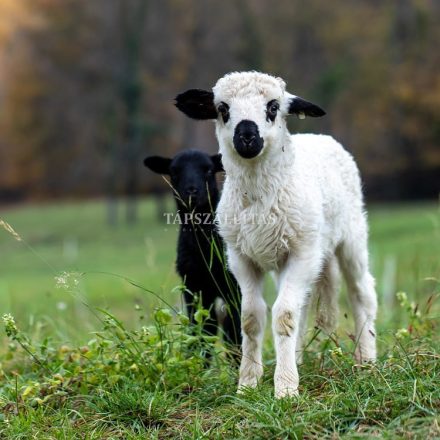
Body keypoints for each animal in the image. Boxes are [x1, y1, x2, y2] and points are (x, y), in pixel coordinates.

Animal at [144, 150, 241, 352]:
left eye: (209, 170)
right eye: (173, 172)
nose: (191, 191)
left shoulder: (233, 287)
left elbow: (234, 330)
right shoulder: (193, 286)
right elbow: (201, 329)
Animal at [175, 71, 378, 398]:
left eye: (273, 107)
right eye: (222, 108)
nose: (246, 136)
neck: (259, 197)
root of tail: (319, 136)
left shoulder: (302, 252)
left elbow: (283, 316)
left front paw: (284, 389)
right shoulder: (241, 258)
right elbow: (251, 318)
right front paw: (248, 384)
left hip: (351, 236)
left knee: (361, 293)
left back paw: (367, 360)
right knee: (303, 306)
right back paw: (297, 358)